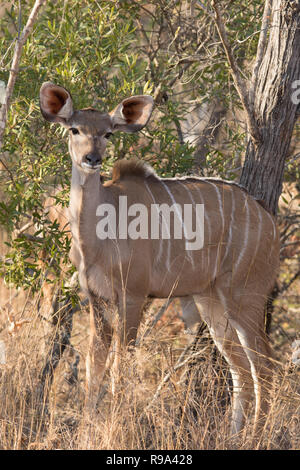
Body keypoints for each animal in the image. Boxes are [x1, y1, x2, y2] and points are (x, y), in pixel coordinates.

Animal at [39, 81, 278, 436]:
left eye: (108, 133)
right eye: (74, 129)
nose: (92, 158)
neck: (98, 235)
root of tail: (269, 219)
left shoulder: (134, 296)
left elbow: (119, 368)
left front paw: (116, 429)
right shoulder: (97, 298)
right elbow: (94, 367)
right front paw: (87, 431)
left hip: (245, 296)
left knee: (263, 364)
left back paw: (255, 436)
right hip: (211, 301)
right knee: (240, 368)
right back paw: (234, 435)